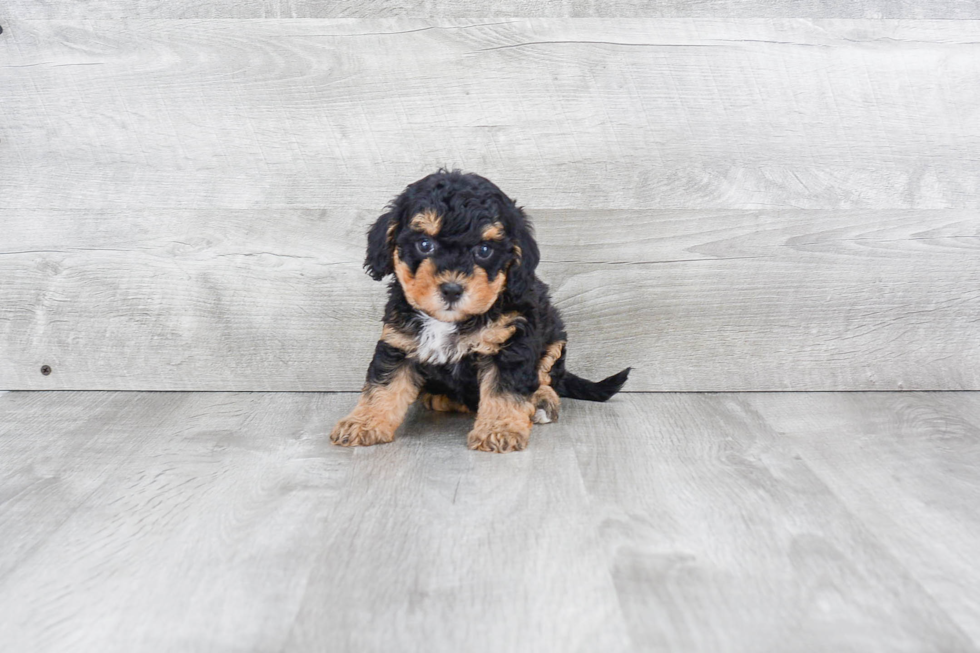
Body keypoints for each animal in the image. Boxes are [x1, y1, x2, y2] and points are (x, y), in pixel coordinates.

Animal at [334, 171, 632, 450]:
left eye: (485, 249)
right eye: (424, 244)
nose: (452, 289)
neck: (449, 321)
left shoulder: (512, 342)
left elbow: (504, 390)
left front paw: (499, 430)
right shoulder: (399, 341)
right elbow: (384, 385)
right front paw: (363, 423)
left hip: (554, 337)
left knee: (546, 377)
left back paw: (542, 401)